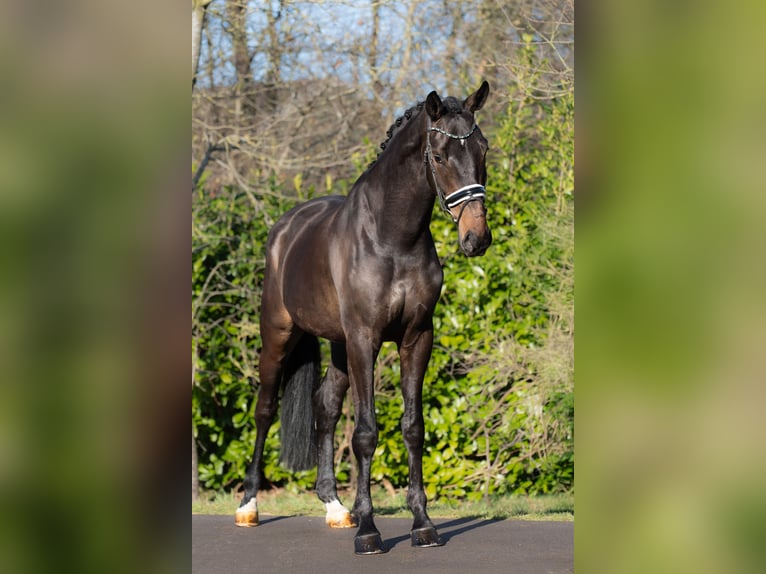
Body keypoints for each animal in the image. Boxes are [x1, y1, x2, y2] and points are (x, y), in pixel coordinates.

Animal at [235, 81, 492, 554]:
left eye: (483, 148)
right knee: (264, 409)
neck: (393, 239)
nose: (476, 237)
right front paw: (369, 531)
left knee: (324, 407)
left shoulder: (416, 338)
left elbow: (412, 427)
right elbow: (366, 432)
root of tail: (286, 228)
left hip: (337, 346)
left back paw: (336, 507)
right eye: (439, 156)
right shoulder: (364, 339)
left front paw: (422, 523)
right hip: (279, 334)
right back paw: (249, 506)